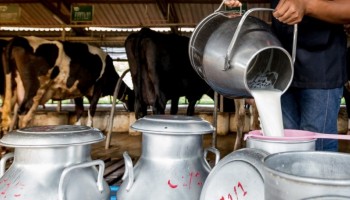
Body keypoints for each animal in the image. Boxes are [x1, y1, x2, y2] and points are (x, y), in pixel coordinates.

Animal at [1, 36, 134, 133]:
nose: (132, 110)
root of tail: (20, 39)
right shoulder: (98, 87)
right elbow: (91, 109)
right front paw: (91, 127)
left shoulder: (79, 91)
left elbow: (80, 110)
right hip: (35, 91)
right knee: (24, 117)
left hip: (12, 91)